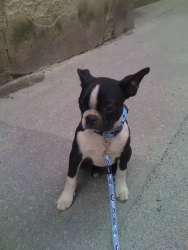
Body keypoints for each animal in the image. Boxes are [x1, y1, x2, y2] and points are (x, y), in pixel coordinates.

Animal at [56, 67, 150, 211]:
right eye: (81, 104)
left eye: (109, 108)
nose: (90, 117)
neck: (103, 135)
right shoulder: (75, 156)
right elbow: (70, 178)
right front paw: (65, 198)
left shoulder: (124, 153)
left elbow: (122, 172)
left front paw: (121, 189)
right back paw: (96, 170)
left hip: (129, 151)